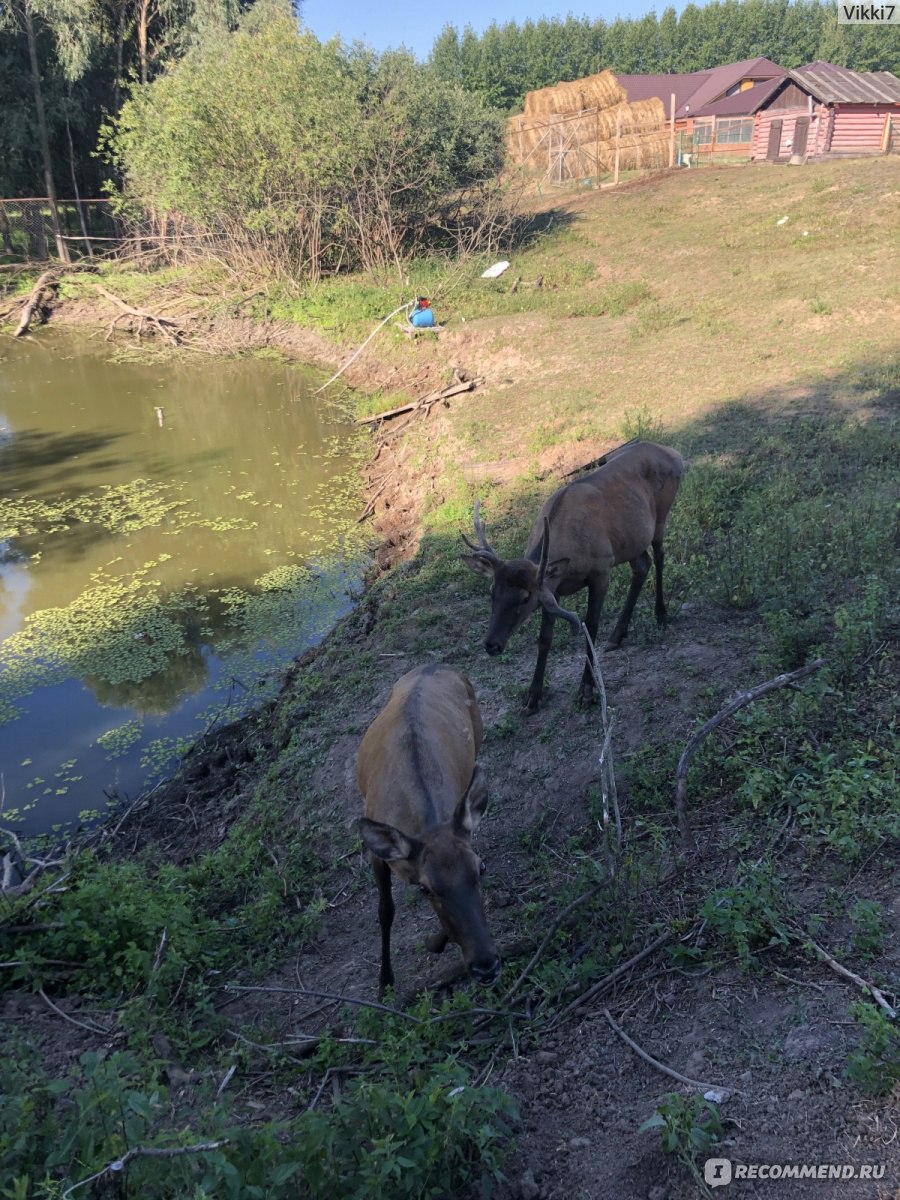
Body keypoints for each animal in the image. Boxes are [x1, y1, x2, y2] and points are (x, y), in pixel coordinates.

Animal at [357, 667, 501, 993]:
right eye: (426, 888)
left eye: (482, 868)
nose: (486, 966)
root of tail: (433, 666)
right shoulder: (379, 856)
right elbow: (385, 910)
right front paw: (385, 981)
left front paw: (432, 942)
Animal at [465, 446, 681, 715]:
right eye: (492, 591)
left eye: (525, 598)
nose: (491, 645)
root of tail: (674, 454)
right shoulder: (552, 588)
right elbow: (545, 638)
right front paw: (532, 697)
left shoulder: (601, 568)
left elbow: (592, 625)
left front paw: (586, 690)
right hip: (631, 541)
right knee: (643, 565)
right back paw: (617, 635)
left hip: (661, 516)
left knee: (660, 557)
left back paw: (661, 615)